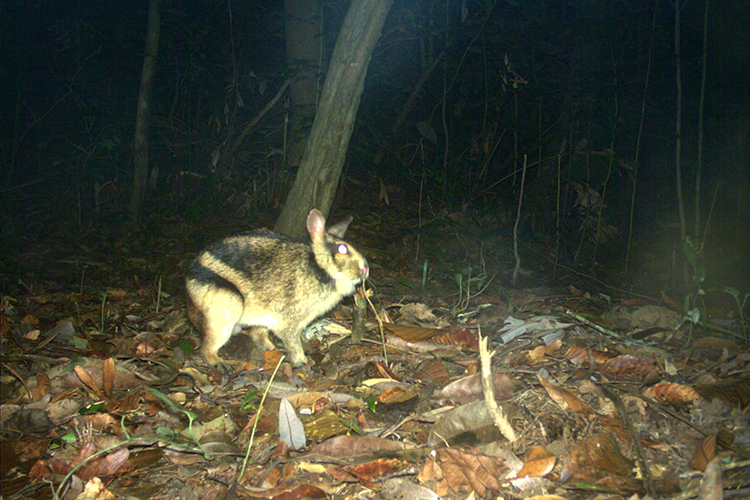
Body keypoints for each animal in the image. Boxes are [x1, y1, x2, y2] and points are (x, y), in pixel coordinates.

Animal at [185, 208, 368, 368]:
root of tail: (189, 279)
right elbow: (293, 344)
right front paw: (302, 362)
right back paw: (220, 364)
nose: (365, 268)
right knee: (207, 348)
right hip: (228, 308)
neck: (320, 268)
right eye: (342, 249)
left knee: (256, 335)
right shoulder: (289, 324)